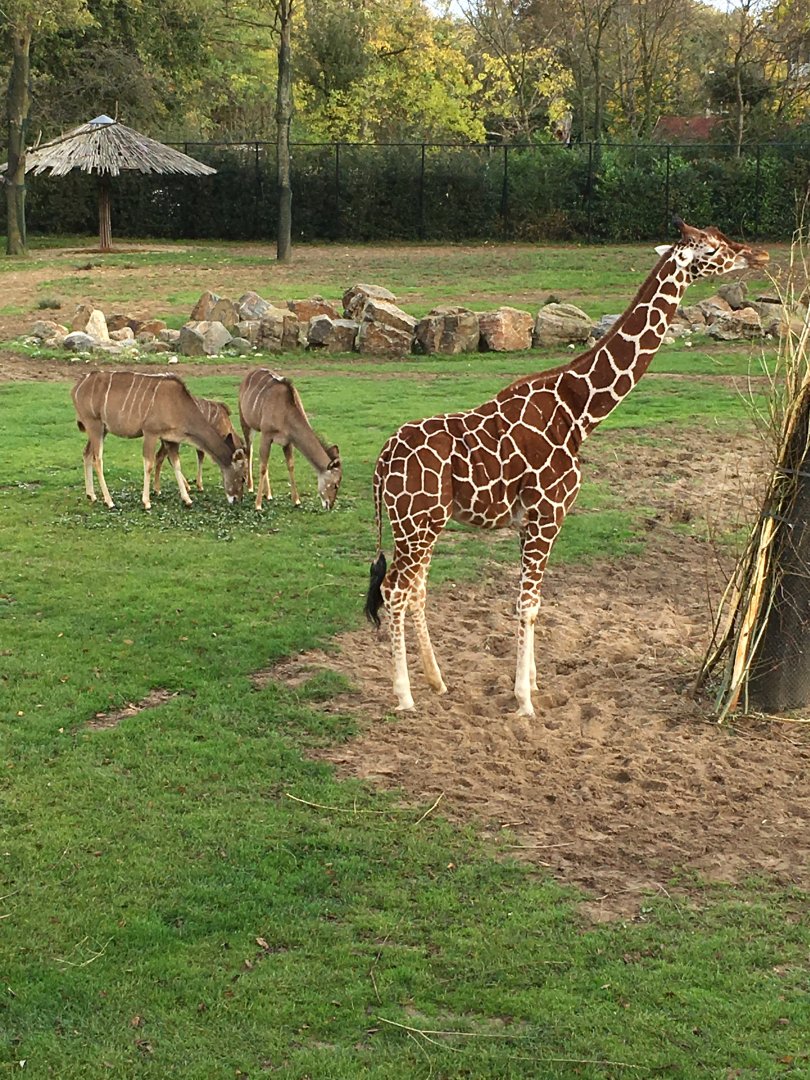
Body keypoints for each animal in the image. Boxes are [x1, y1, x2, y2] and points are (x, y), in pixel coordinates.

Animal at [364, 219, 769, 717]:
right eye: (711, 249)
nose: (758, 256)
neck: (580, 413)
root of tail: (381, 462)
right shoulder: (545, 515)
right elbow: (527, 605)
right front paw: (524, 702)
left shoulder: (535, 522)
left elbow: (535, 603)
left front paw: (534, 684)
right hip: (416, 522)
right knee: (394, 592)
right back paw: (404, 696)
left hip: (423, 523)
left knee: (415, 590)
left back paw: (437, 681)